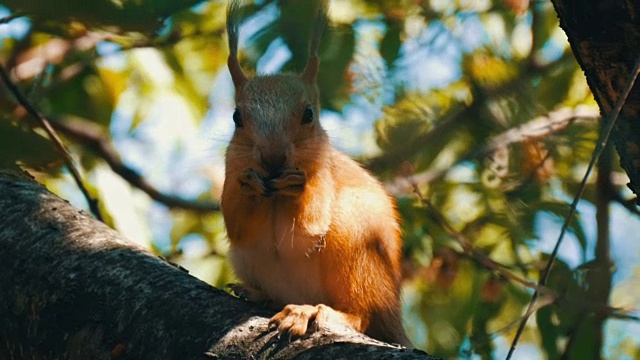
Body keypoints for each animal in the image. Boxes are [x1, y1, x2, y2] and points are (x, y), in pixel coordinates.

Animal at [220, 0, 410, 346]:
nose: (272, 158)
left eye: (308, 114)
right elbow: (238, 225)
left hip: (358, 245)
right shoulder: (232, 166)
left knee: (361, 315)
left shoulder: (324, 173)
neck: (274, 196)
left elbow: (310, 226)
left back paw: (309, 312)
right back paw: (259, 294)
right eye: (237, 117)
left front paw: (299, 186)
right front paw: (249, 185)